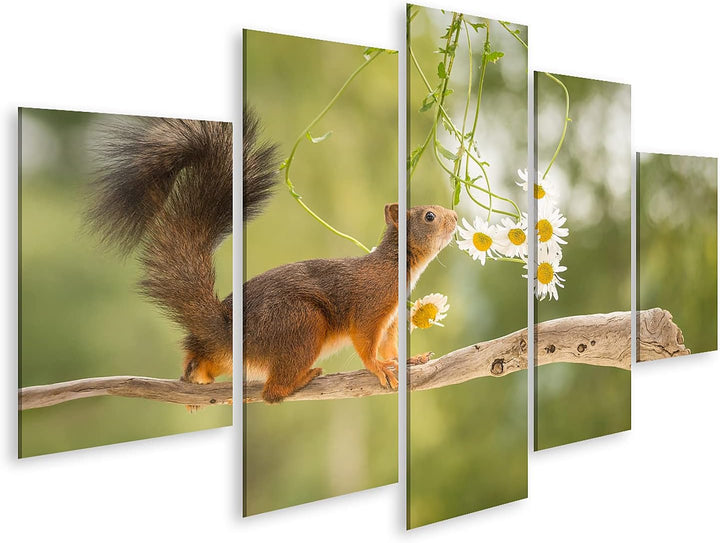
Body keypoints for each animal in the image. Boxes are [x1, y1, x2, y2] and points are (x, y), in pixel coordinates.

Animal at [87, 109, 458, 404]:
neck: (395, 265)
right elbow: (367, 344)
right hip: (302, 323)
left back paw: (196, 378)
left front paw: (407, 360)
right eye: (429, 216)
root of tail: (226, 336)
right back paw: (302, 378)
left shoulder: (392, 319)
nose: (455, 216)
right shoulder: (370, 306)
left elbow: (390, 346)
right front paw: (380, 368)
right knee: (272, 393)